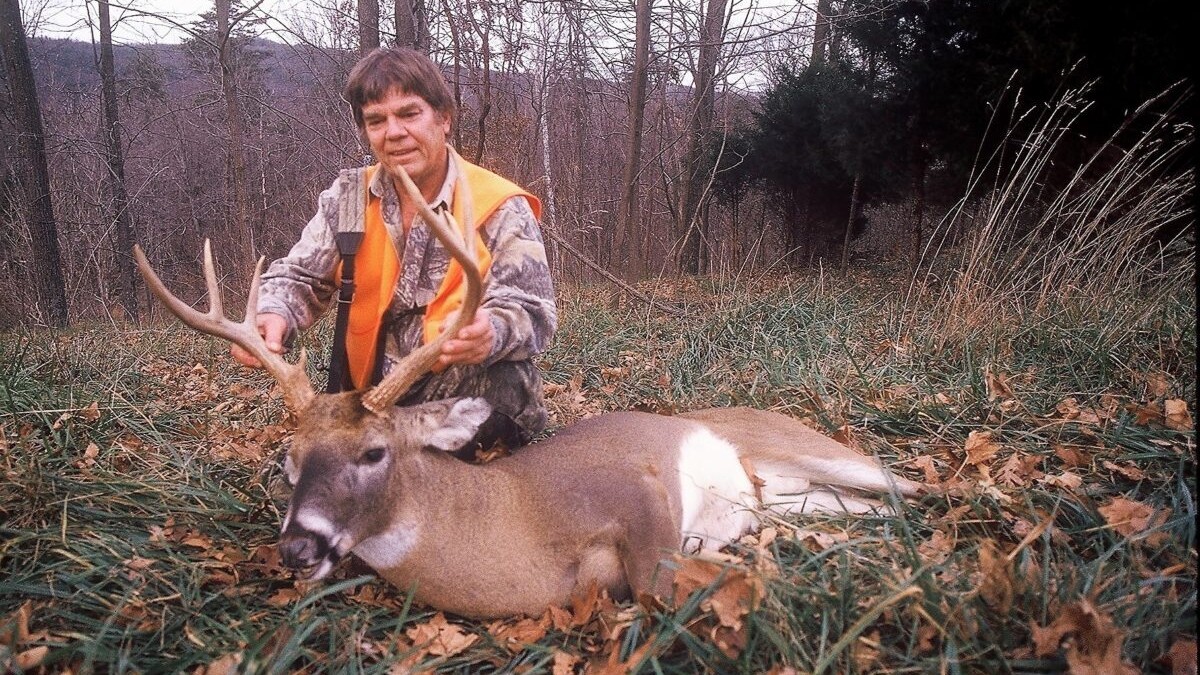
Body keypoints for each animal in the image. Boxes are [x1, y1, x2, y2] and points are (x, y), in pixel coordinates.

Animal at [133, 152, 923, 620]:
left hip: (809, 449)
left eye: (372, 453)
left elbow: (655, 583)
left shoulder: (636, 484)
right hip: (791, 491)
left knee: (907, 486)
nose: (299, 547)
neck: (516, 528)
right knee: (852, 511)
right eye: (289, 462)